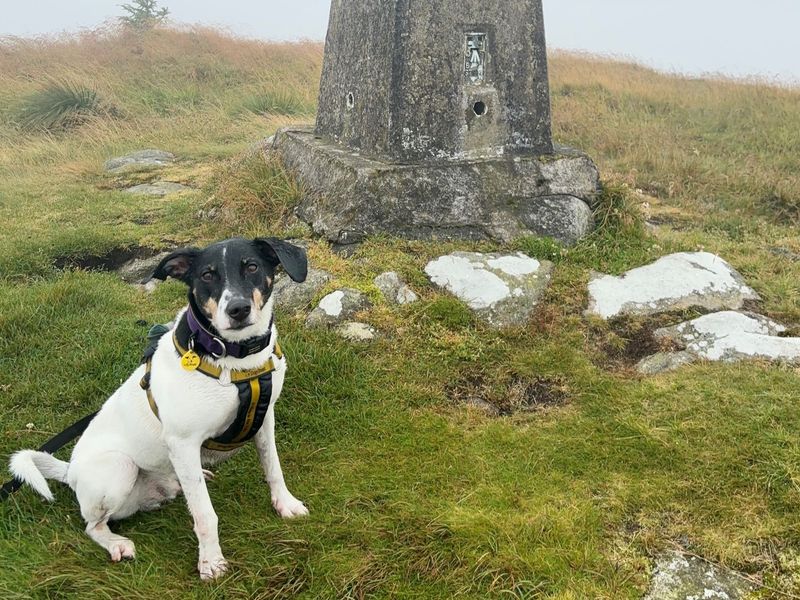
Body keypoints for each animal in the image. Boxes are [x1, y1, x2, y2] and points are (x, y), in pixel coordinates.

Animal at [9, 237, 310, 580]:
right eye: (207, 275)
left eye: (252, 267)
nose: (238, 309)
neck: (234, 358)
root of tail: (70, 471)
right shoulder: (183, 442)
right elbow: (205, 515)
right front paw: (210, 561)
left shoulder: (265, 419)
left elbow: (274, 468)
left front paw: (285, 504)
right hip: (119, 468)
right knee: (92, 526)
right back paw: (116, 544)